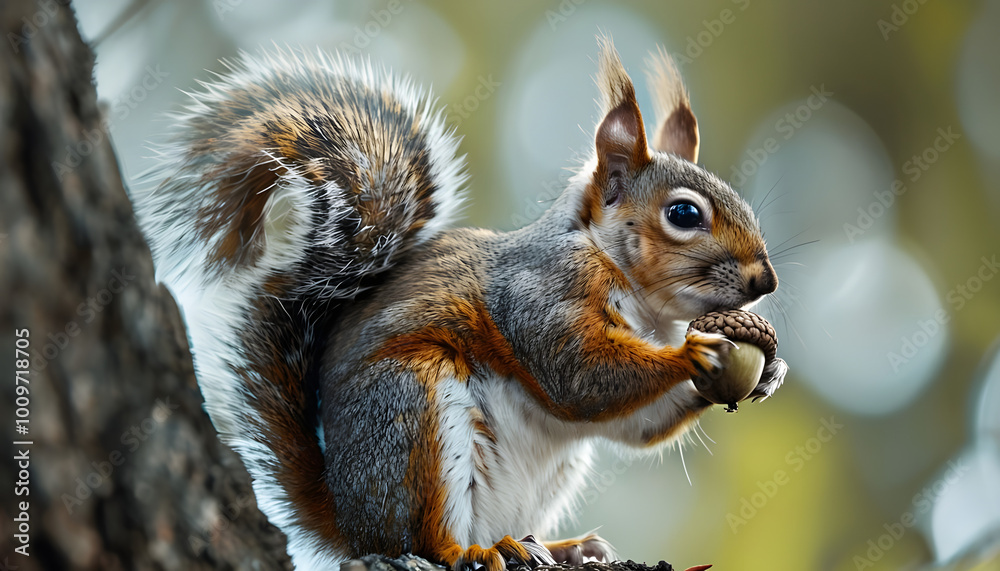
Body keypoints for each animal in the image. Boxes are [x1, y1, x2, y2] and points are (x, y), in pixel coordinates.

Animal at [135, 37, 786, 571]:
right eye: (684, 214)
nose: (767, 280)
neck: (643, 300)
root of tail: (351, 524)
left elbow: (633, 423)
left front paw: (767, 371)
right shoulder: (537, 293)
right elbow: (579, 374)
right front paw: (693, 353)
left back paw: (559, 547)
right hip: (412, 406)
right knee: (423, 541)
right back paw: (471, 551)